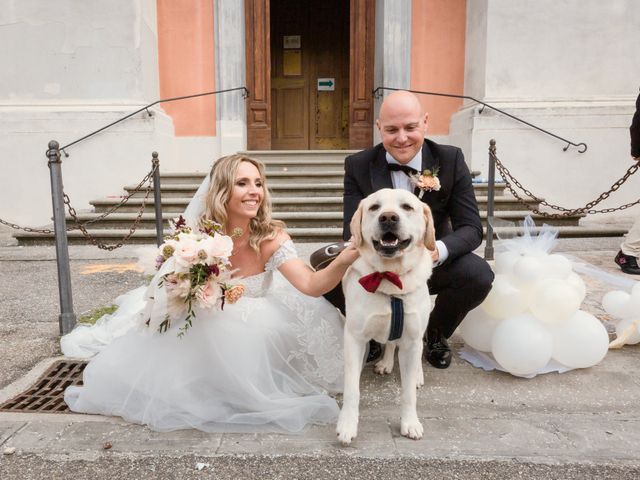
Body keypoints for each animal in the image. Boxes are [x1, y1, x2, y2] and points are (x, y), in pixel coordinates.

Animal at [336, 188, 436, 446]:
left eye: (407, 207)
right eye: (374, 207)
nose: (388, 218)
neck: (391, 276)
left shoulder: (411, 339)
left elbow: (408, 393)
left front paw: (410, 423)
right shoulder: (354, 337)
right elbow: (352, 389)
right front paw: (347, 425)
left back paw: (416, 373)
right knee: (390, 343)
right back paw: (386, 362)